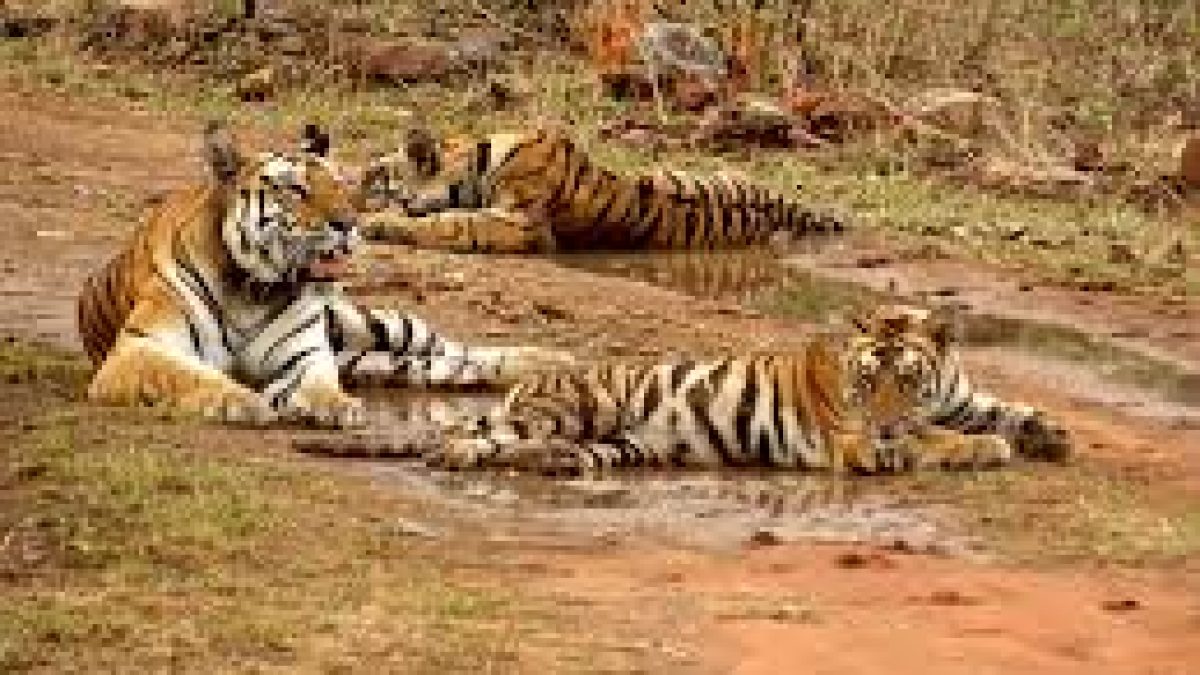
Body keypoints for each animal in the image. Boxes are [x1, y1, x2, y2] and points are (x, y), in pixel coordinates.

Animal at [78, 121, 572, 429]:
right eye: (295, 189)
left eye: (338, 183)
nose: (349, 223)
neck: (252, 289)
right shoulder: (138, 350)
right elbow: (191, 376)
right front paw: (240, 400)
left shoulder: (307, 355)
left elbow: (318, 383)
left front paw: (336, 407)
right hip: (385, 360)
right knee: (443, 366)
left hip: (370, 323)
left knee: (453, 349)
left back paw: (552, 360)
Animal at [424, 304, 1071, 475]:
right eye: (868, 383)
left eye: (908, 381)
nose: (885, 420)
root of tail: (527, 382)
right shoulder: (855, 440)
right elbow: (931, 439)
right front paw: (985, 448)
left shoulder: (959, 398)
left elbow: (1001, 409)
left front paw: (1050, 433)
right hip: (581, 406)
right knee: (475, 437)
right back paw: (455, 454)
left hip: (627, 445)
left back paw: (556, 462)